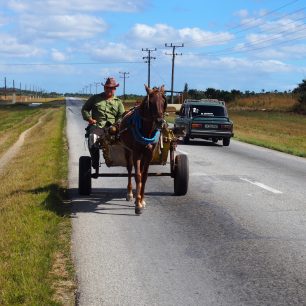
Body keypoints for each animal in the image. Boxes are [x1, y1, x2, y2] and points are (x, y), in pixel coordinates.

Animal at [119, 84, 167, 215]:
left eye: (163, 101)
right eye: (150, 102)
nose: (160, 122)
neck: (147, 130)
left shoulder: (149, 154)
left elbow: (144, 176)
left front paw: (141, 200)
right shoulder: (136, 153)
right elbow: (137, 176)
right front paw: (138, 206)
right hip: (127, 150)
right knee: (130, 169)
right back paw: (130, 194)